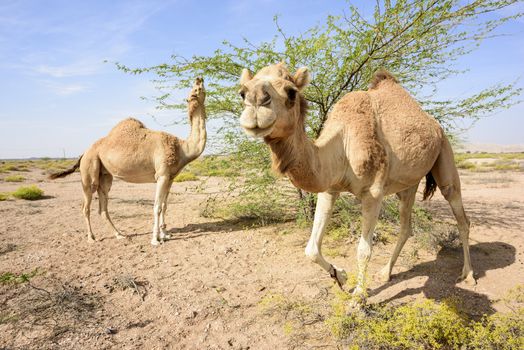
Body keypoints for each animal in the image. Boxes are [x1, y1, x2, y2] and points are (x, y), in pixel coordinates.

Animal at [49, 77, 207, 245]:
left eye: (200, 88)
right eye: (196, 89)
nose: (199, 78)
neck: (182, 148)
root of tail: (84, 153)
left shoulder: (170, 178)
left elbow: (164, 206)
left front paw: (165, 234)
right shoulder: (162, 175)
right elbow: (157, 207)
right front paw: (155, 239)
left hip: (104, 176)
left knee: (103, 207)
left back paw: (119, 234)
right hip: (89, 171)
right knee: (86, 206)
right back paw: (91, 238)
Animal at [237, 63, 474, 304]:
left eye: (291, 92)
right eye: (242, 93)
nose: (256, 102)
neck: (344, 142)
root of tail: (435, 124)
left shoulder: (373, 193)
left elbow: (364, 249)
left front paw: (359, 295)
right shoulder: (329, 188)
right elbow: (311, 249)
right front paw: (340, 275)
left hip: (444, 151)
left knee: (460, 214)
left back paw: (469, 274)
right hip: (408, 184)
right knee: (406, 226)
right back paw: (386, 272)